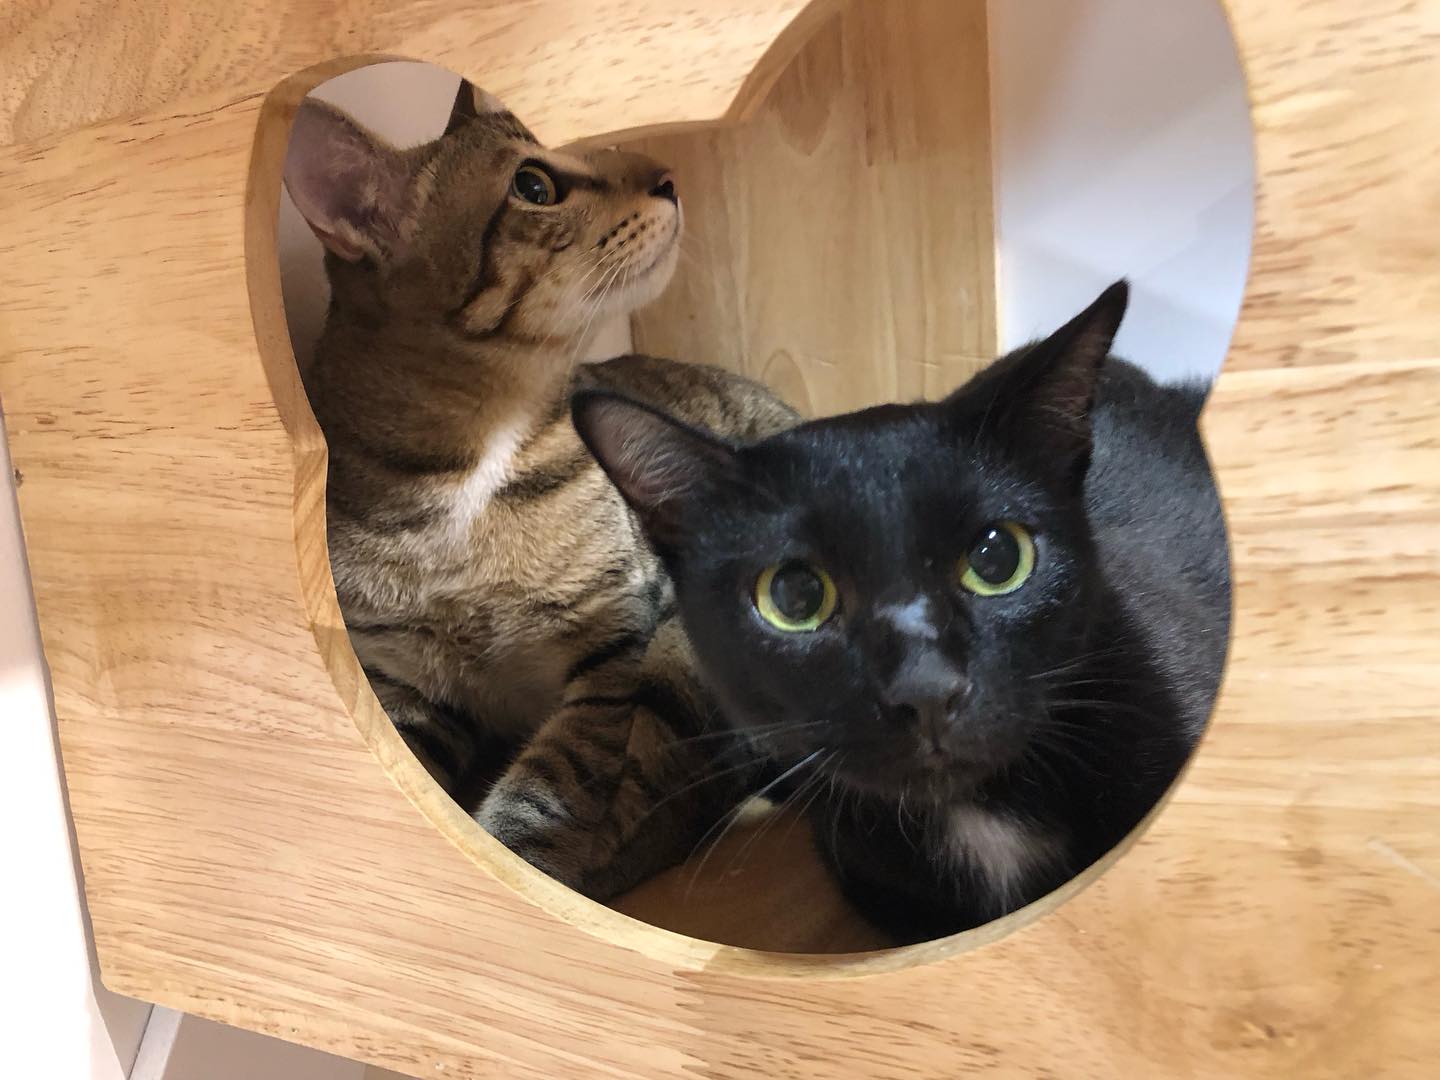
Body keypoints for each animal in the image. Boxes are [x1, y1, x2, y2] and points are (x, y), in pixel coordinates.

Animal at [284, 83, 796, 896]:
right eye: (533, 186)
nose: (668, 178)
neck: (475, 460)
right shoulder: (403, 685)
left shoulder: (613, 640)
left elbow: (555, 786)